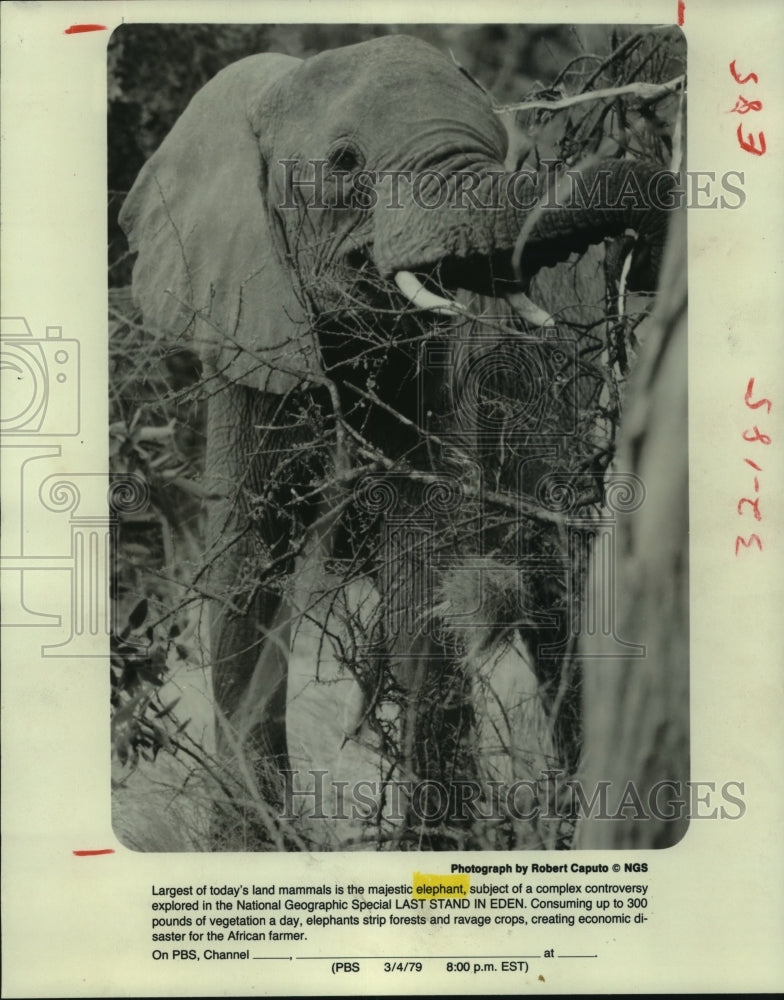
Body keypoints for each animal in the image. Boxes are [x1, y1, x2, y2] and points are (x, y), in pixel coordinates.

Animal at [119, 33, 675, 849]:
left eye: (503, 153)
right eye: (345, 162)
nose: (640, 147)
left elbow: (421, 574)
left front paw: (439, 849)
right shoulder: (246, 341)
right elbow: (247, 574)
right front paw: (251, 846)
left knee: (562, 605)